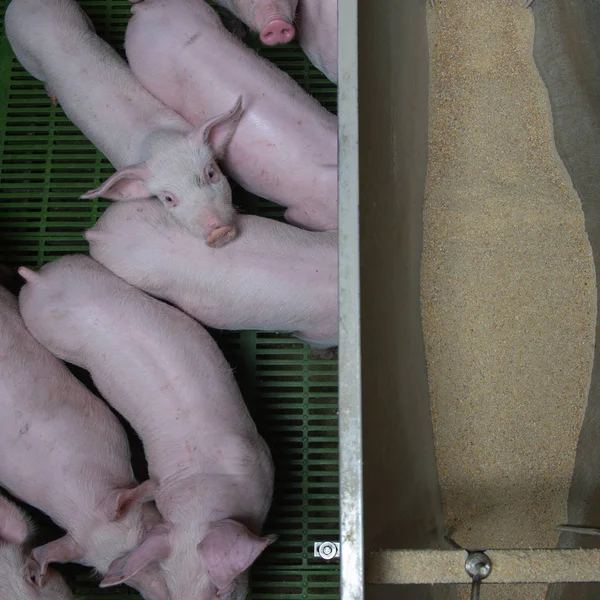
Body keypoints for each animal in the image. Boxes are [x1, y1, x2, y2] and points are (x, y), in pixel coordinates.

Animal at [4, 0, 244, 246]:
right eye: (168, 198)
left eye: (211, 173)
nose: (219, 231)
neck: (158, 139)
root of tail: (22, 3)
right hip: (24, 56)